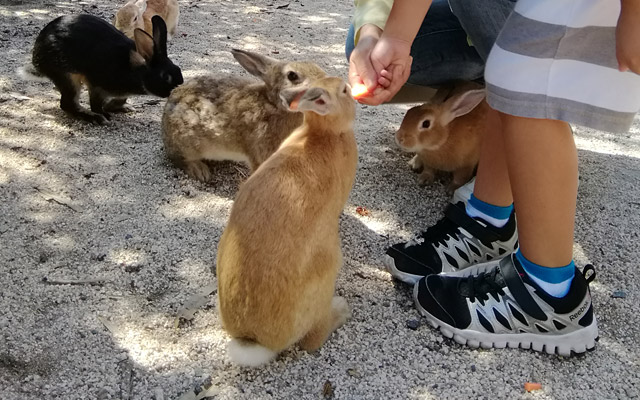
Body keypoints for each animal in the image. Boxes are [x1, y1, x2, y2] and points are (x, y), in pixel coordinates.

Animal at [23, 14, 181, 123]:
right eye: (165, 76)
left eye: (179, 69)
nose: (175, 89)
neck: (138, 72)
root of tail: (37, 59)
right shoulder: (97, 85)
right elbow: (96, 104)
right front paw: (104, 115)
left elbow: (119, 100)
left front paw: (121, 108)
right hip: (68, 76)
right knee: (67, 104)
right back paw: (93, 118)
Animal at [216, 76, 358, 368]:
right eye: (344, 91)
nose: (351, 89)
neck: (323, 134)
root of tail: (255, 340)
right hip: (327, 270)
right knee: (312, 340)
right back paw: (341, 310)